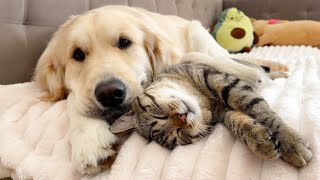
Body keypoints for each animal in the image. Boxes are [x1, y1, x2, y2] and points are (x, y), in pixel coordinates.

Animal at [34, 5, 284, 174]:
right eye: (77, 54)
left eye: (125, 42)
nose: (110, 93)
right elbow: (72, 99)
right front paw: (88, 138)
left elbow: (192, 58)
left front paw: (252, 74)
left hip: (197, 33)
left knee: (223, 55)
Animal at [110, 55, 312, 167]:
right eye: (179, 135)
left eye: (157, 113)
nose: (182, 118)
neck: (205, 101)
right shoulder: (225, 112)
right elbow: (240, 123)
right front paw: (260, 141)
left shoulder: (226, 83)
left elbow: (260, 111)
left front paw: (291, 145)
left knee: (263, 71)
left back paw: (282, 74)